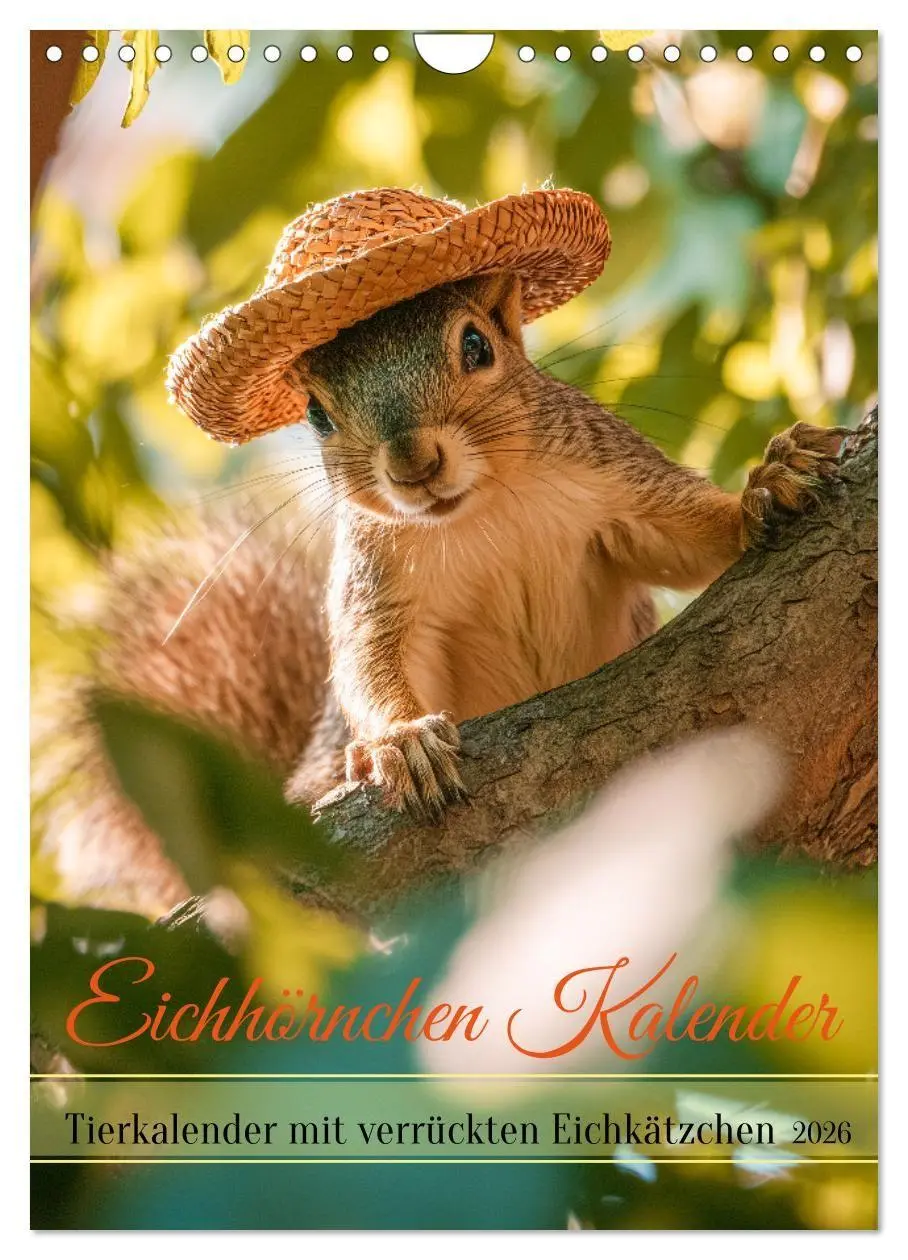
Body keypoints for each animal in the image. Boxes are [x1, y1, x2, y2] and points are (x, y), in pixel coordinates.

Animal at [38, 273, 845, 918]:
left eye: (478, 346)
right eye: (316, 414)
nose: (413, 463)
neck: (480, 511)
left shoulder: (615, 481)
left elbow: (685, 534)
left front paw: (766, 486)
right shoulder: (379, 586)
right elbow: (370, 662)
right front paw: (402, 742)